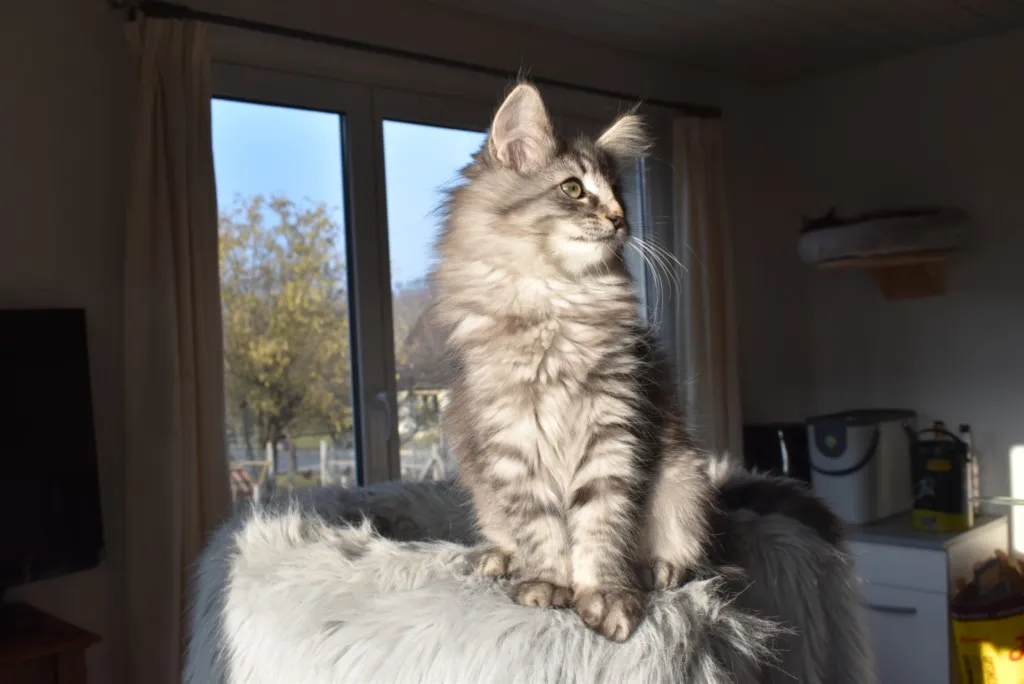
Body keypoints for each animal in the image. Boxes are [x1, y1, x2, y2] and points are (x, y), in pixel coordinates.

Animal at [429, 81, 713, 643]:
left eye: (619, 193)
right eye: (574, 189)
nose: (620, 220)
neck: (553, 302)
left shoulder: (612, 428)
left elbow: (600, 525)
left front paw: (606, 596)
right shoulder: (513, 438)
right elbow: (539, 526)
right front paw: (545, 584)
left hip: (685, 479)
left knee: (679, 552)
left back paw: (656, 569)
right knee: (505, 535)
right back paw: (501, 561)